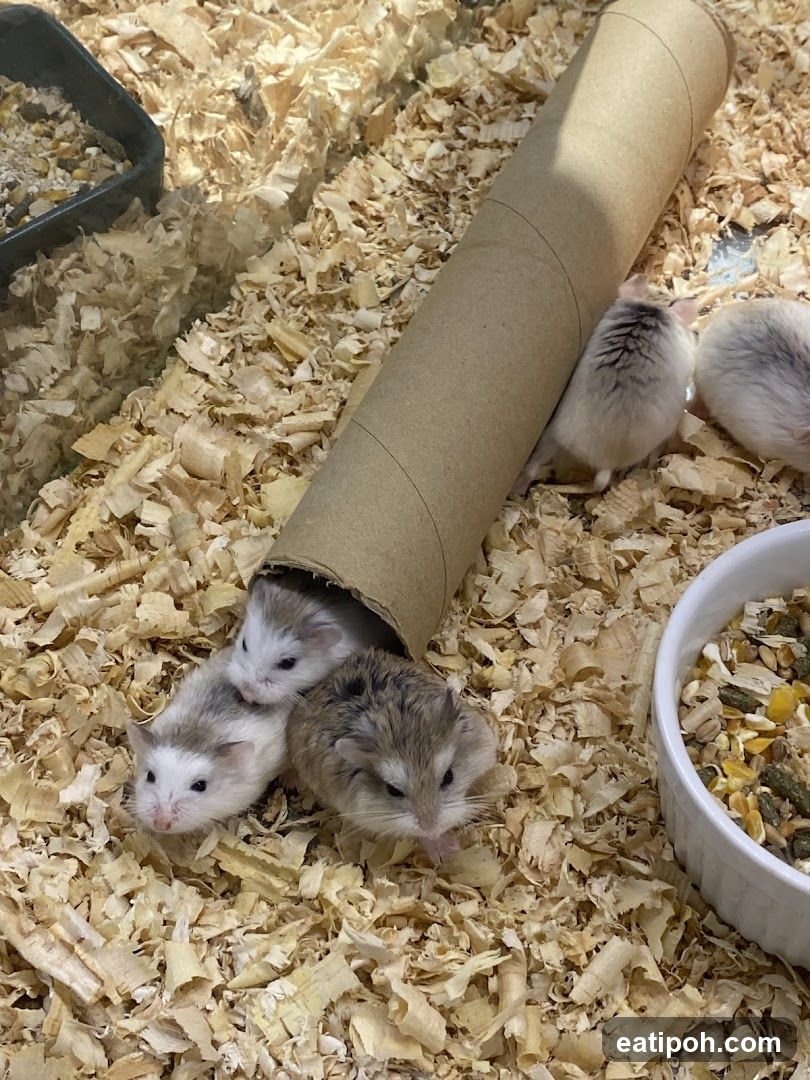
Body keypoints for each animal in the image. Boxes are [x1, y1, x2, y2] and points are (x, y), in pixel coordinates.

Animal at [513, 274, 698, 494]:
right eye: (666, 292)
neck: (652, 305)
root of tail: (602, 460)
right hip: (665, 430)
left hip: (550, 435)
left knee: (532, 467)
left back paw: (519, 490)